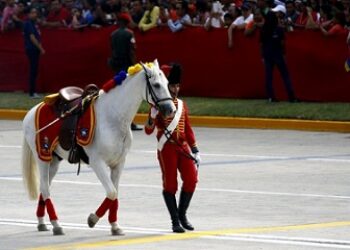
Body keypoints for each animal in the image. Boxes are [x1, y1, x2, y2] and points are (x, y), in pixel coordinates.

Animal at [21, 59, 175, 235]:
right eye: (156, 85)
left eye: (167, 83)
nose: (171, 110)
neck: (112, 117)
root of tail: (32, 111)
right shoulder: (97, 163)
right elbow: (112, 192)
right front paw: (93, 219)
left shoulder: (119, 163)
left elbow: (115, 194)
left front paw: (115, 226)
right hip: (43, 157)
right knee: (45, 188)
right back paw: (57, 224)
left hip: (54, 160)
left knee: (43, 187)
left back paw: (42, 222)